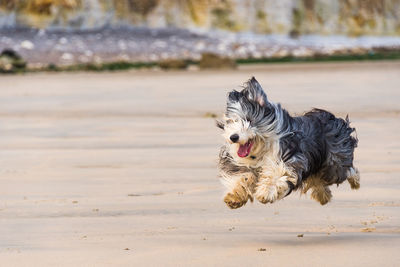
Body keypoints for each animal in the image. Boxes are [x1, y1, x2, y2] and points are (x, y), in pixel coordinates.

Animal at [217, 77, 360, 209]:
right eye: (231, 121)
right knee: (318, 180)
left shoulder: (288, 159)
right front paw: (234, 196)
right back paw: (323, 196)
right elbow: (242, 177)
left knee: (345, 170)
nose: (233, 137)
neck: (261, 149)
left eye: (249, 120)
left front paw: (265, 193)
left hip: (333, 162)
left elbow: (276, 174)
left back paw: (355, 182)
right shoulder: (240, 164)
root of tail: (331, 118)